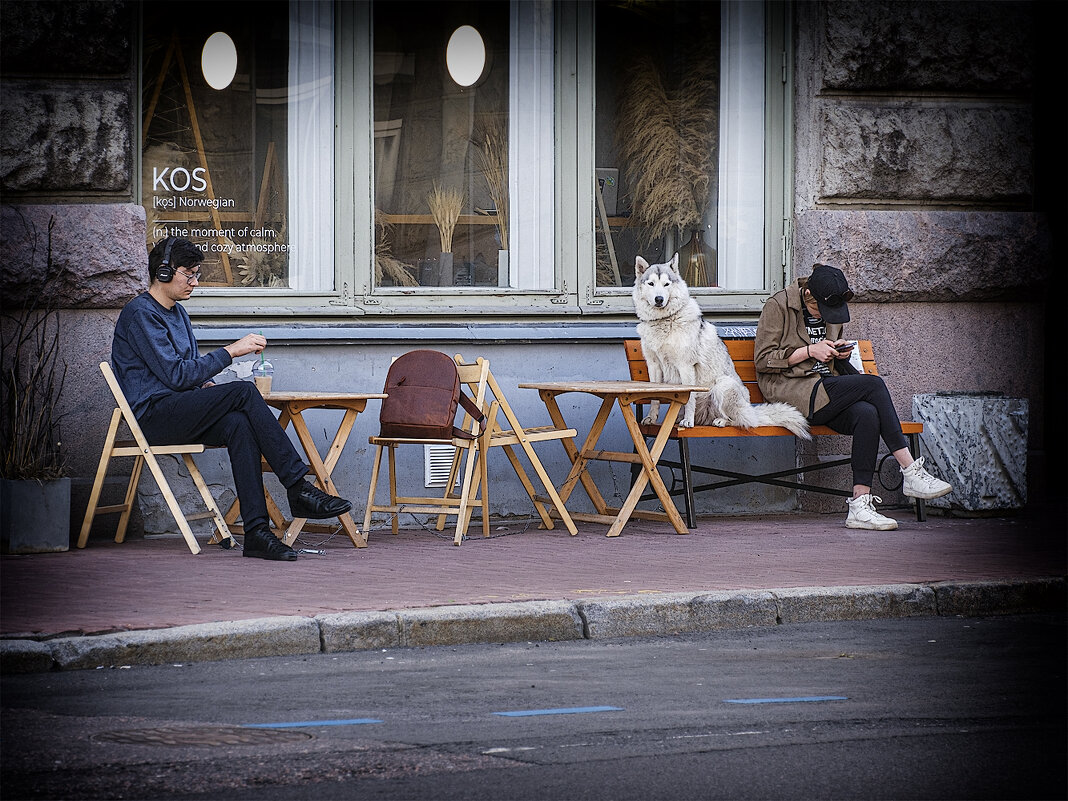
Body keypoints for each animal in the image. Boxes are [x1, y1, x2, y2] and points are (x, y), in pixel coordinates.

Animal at [632, 255, 807, 440]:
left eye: (666, 284)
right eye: (651, 284)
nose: (659, 299)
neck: (664, 321)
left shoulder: (686, 366)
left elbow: (690, 398)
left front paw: (688, 422)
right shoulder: (654, 366)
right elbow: (654, 398)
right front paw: (651, 418)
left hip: (723, 385)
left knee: (742, 421)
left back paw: (720, 421)